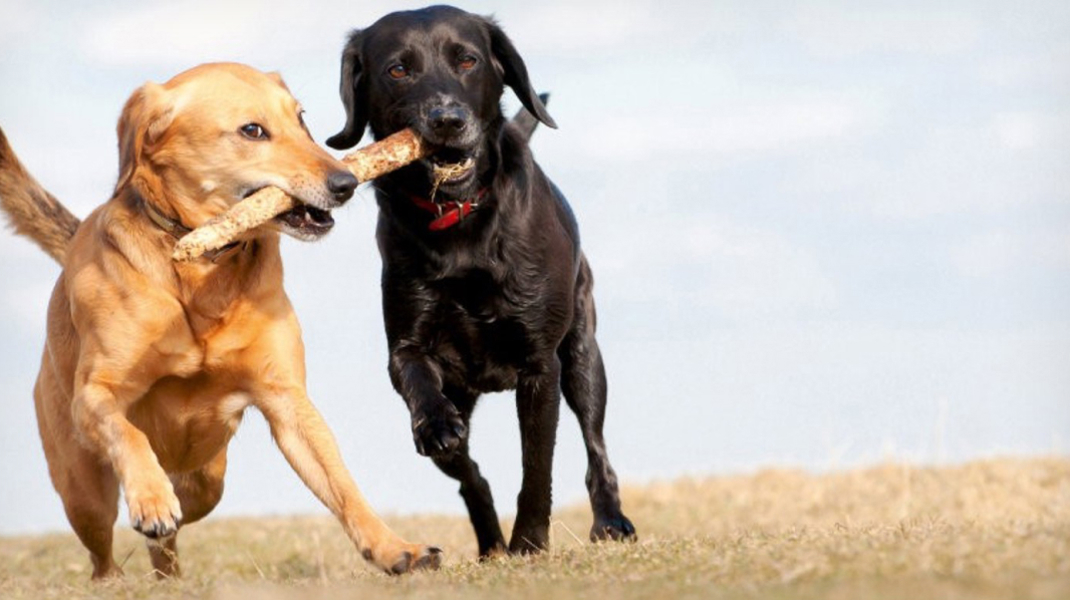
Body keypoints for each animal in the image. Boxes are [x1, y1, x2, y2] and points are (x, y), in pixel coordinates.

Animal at [0, 63, 440, 577]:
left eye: (301, 119)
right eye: (252, 131)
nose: (347, 182)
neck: (200, 266)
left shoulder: (286, 399)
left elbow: (343, 487)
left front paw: (395, 548)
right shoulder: (95, 394)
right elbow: (127, 431)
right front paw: (150, 498)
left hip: (207, 479)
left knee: (173, 532)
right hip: (81, 490)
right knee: (101, 552)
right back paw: (123, 563)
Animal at [321, 5, 629, 556]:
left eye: (466, 60)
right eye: (398, 69)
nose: (447, 120)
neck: (459, 219)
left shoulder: (540, 366)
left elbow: (537, 467)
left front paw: (530, 542)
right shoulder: (406, 349)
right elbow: (420, 384)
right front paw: (437, 424)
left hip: (584, 357)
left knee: (596, 445)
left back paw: (610, 521)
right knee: (470, 476)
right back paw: (490, 544)